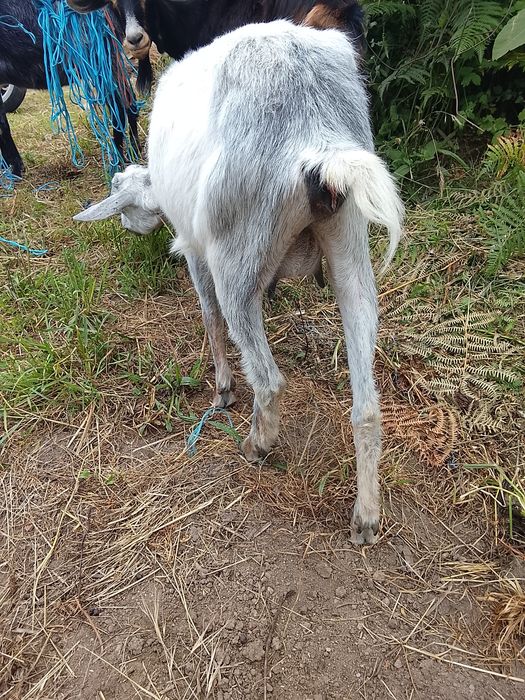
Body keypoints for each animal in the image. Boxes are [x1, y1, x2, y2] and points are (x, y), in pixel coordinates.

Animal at [0, 0, 139, 177]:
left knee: (121, 108)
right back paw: (133, 152)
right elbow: (4, 127)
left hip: (101, 63)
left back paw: (120, 159)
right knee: (129, 104)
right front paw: (15, 171)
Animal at [73, 20, 404, 544]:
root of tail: (316, 131)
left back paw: (256, 445)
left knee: (267, 378)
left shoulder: (194, 248)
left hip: (237, 251)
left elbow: (210, 319)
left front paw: (223, 390)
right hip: (349, 242)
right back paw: (366, 517)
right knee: (367, 404)